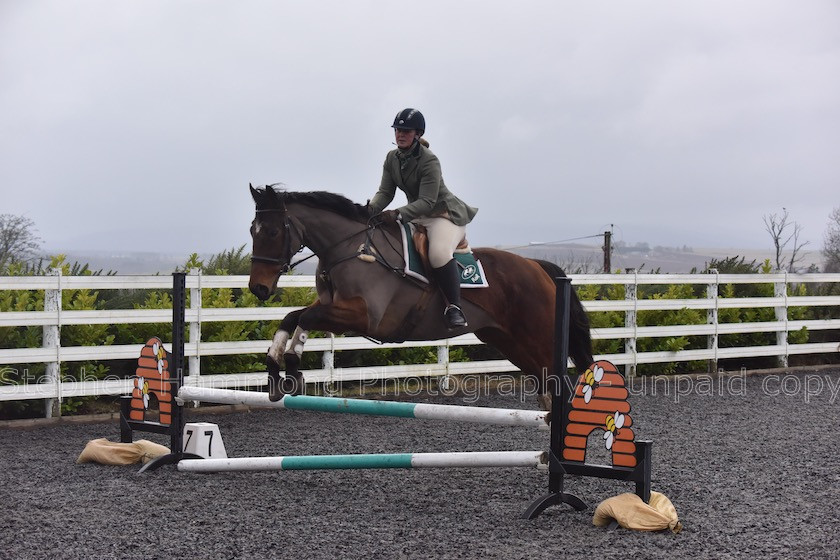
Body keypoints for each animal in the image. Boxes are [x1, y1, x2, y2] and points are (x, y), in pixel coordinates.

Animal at [246, 186, 592, 410]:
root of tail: (539, 268)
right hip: (510, 342)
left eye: (274, 232)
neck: (349, 248)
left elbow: (305, 317)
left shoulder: (363, 316)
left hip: (537, 339)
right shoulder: (334, 307)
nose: (258, 288)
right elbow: (293, 317)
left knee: (561, 385)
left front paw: (291, 366)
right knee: (547, 386)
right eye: (252, 230)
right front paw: (276, 368)